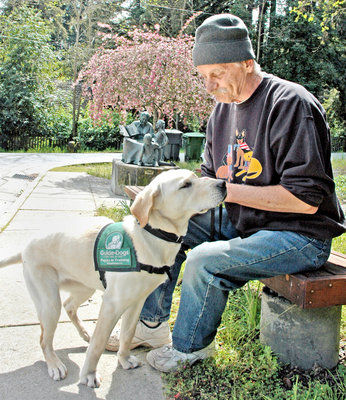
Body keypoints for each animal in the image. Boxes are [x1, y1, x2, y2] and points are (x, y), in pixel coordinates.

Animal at [0, 168, 227, 388]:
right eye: (185, 184)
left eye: (196, 177)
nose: (223, 184)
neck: (153, 234)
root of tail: (25, 247)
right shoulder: (111, 304)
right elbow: (98, 344)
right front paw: (89, 374)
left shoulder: (137, 302)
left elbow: (128, 334)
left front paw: (124, 359)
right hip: (49, 303)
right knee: (44, 338)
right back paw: (55, 364)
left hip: (85, 287)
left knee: (69, 306)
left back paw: (84, 333)